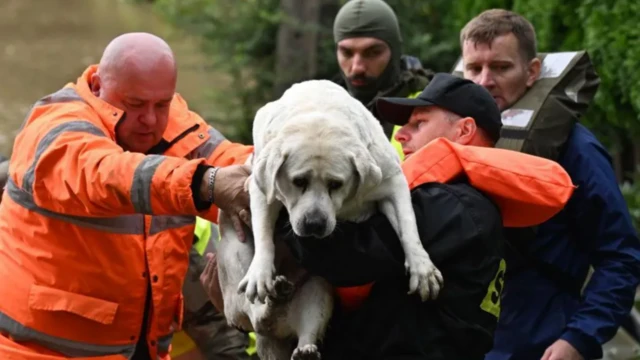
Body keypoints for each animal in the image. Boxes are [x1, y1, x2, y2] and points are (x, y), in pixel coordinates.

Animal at [218, 79, 442, 360]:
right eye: (298, 181)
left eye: (336, 184)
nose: (314, 224)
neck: (319, 114)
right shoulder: (260, 187)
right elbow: (263, 233)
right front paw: (260, 272)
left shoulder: (391, 182)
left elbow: (408, 225)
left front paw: (423, 269)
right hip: (233, 260)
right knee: (255, 314)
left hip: (319, 290)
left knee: (299, 323)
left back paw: (301, 342)